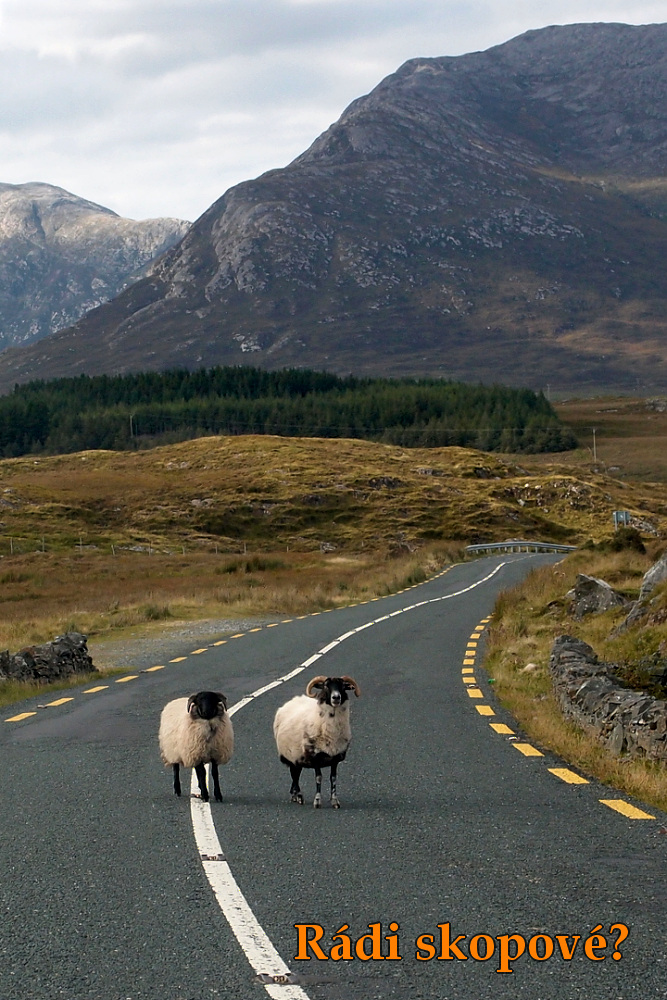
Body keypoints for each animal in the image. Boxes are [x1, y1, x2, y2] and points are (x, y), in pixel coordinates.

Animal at [272, 676, 360, 808]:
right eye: (326, 686)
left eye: (343, 686)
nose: (336, 697)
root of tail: (292, 700)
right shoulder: (315, 757)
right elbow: (318, 778)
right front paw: (317, 801)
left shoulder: (335, 758)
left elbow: (333, 779)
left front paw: (335, 801)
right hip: (291, 755)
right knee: (295, 775)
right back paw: (299, 796)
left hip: (298, 756)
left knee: (296, 774)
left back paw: (294, 795)